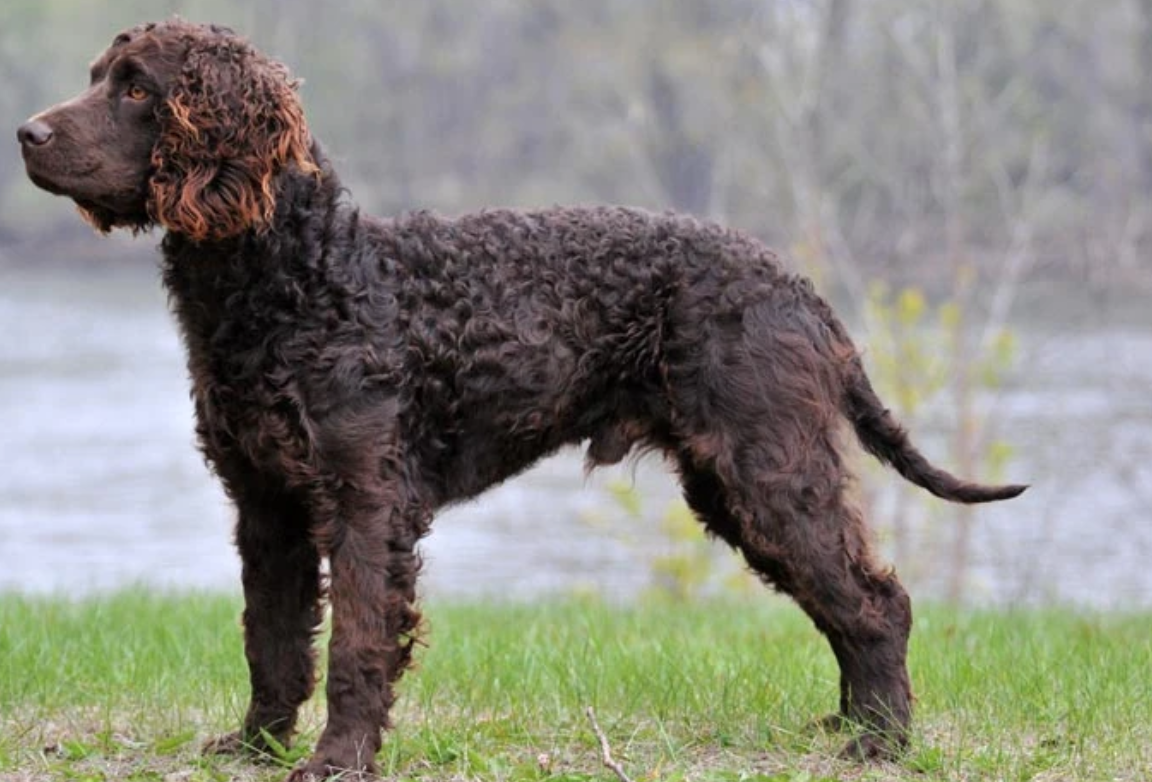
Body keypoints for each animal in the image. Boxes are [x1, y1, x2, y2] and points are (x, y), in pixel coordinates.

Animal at [18, 18, 1027, 782]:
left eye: (139, 90)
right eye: (99, 79)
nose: (27, 133)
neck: (300, 280)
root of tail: (796, 284)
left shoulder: (366, 502)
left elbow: (355, 647)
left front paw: (338, 760)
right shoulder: (265, 504)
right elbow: (273, 640)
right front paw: (257, 747)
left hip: (768, 468)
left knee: (876, 602)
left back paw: (881, 744)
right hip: (736, 483)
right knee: (848, 605)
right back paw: (852, 728)